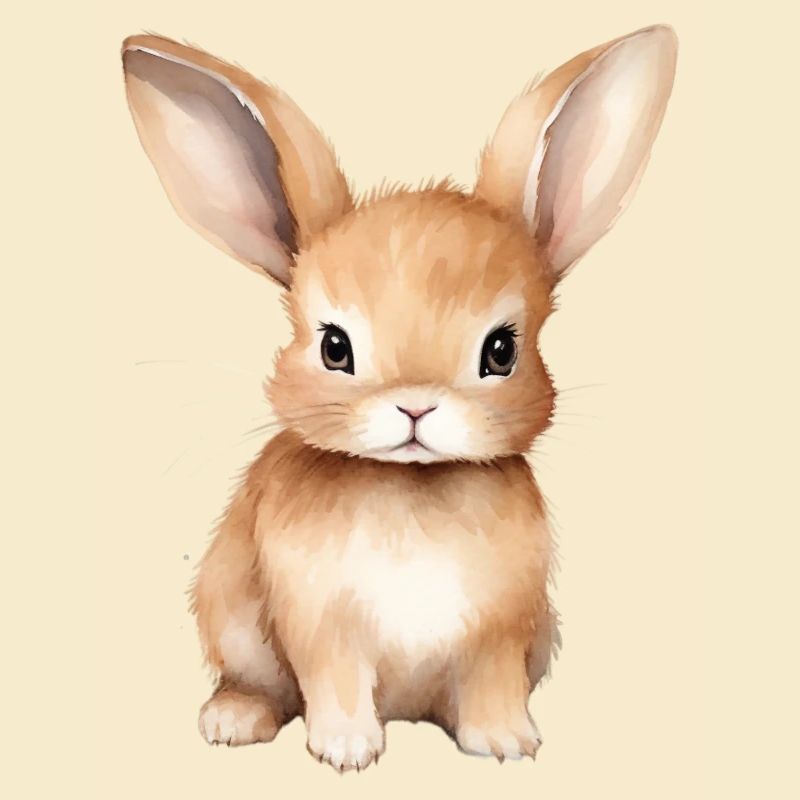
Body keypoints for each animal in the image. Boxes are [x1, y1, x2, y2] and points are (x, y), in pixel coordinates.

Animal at [121, 24, 677, 771]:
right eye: (334, 347)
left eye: (501, 351)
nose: (416, 407)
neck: (413, 488)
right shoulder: (321, 626)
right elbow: (336, 681)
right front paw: (346, 752)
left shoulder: (501, 631)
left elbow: (492, 685)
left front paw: (506, 745)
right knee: (259, 684)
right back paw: (233, 720)